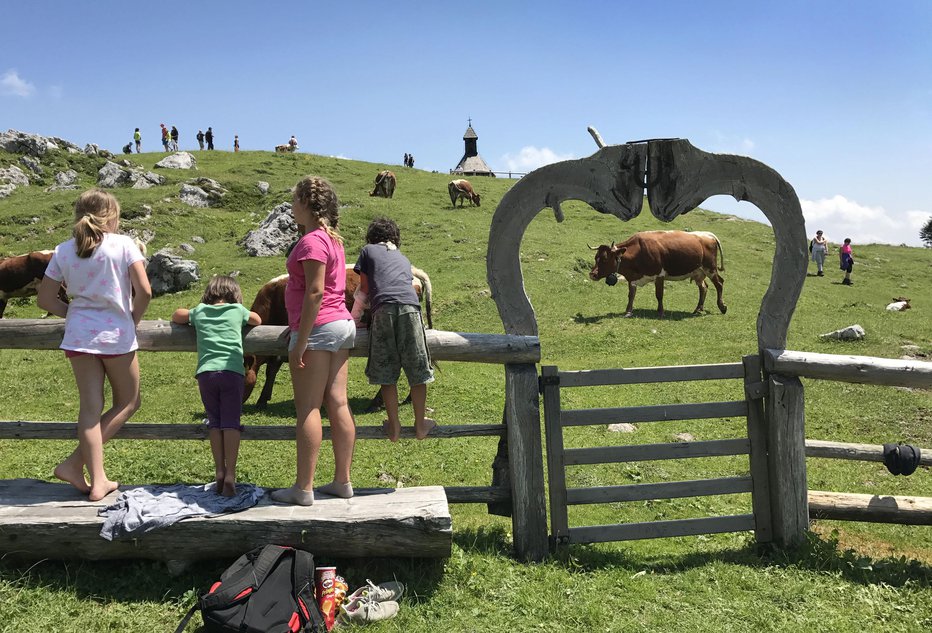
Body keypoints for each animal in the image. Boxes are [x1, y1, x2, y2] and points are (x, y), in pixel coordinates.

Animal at [242, 264, 436, 408]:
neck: (273, 299)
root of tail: (413, 270)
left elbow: (273, 368)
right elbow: (272, 369)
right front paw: (263, 399)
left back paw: (378, 402)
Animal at [588, 230, 728, 318]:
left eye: (605, 259)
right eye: (596, 257)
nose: (592, 274)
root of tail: (707, 234)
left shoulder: (659, 275)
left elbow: (659, 295)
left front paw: (660, 312)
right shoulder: (632, 279)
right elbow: (631, 295)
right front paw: (628, 311)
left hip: (710, 268)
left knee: (719, 283)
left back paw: (722, 307)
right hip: (698, 272)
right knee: (703, 287)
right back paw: (698, 309)